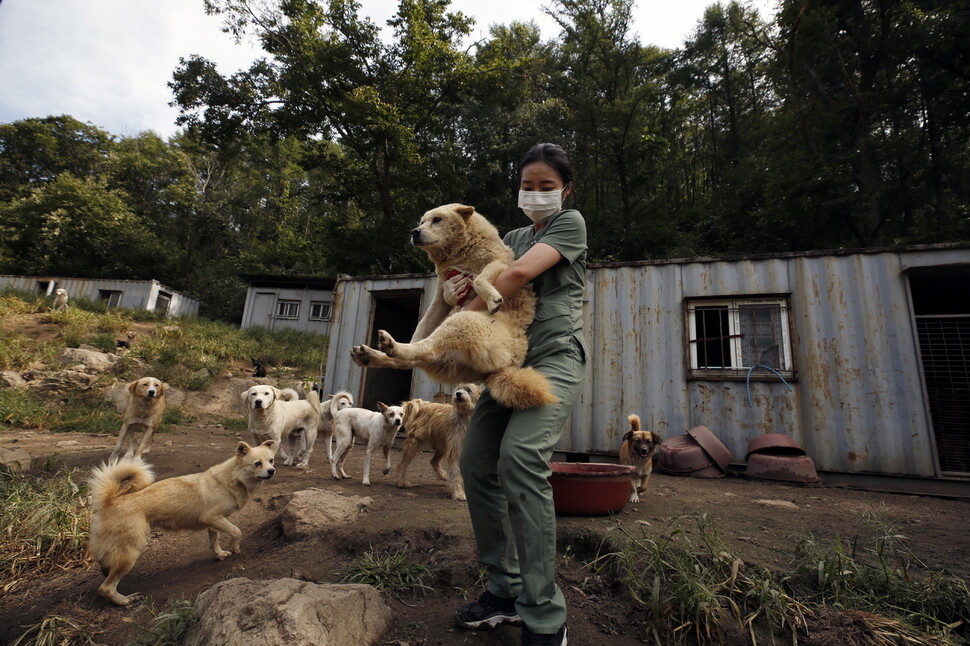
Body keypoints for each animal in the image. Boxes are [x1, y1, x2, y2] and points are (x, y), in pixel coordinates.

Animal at [87, 440, 276, 608]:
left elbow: (214, 541)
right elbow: (236, 531)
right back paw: (124, 600)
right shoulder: (213, 518)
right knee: (105, 588)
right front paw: (235, 548)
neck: (231, 478)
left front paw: (220, 554)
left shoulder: (213, 522)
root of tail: (110, 501)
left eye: (271, 460)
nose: (272, 471)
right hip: (131, 552)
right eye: (257, 463)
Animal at [352, 202, 556, 410]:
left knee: (425, 348)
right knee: (414, 355)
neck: (461, 253)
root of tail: (505, 367)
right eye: (422, 221)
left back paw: (389, 346)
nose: (414, 232)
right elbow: (422, 326)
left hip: (463, 320)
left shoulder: (503, 265)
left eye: (437, 219)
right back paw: (371, 354)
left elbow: (479, 280)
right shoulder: (441, 295)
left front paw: (493, 299)